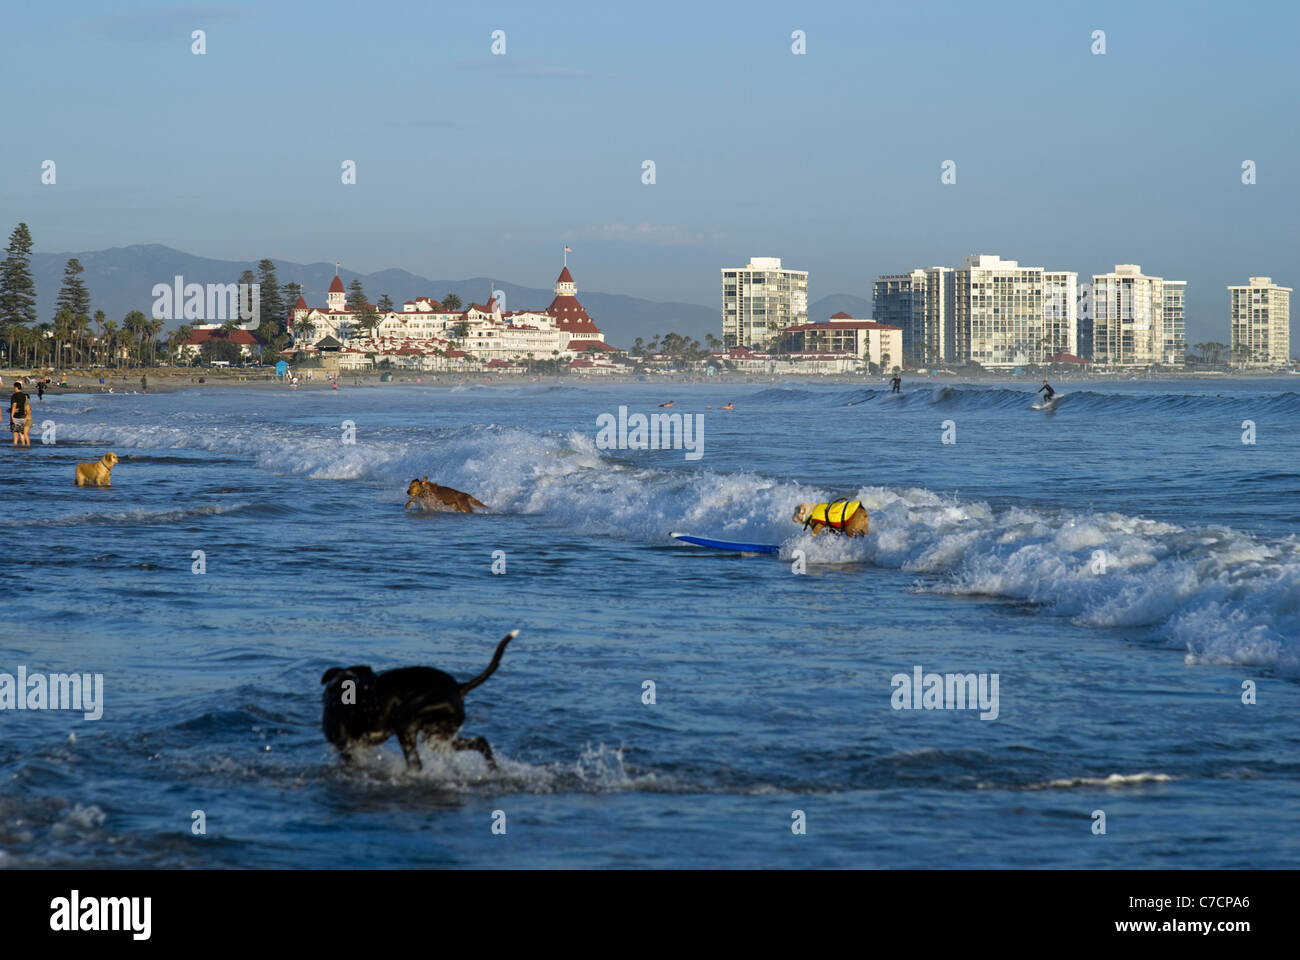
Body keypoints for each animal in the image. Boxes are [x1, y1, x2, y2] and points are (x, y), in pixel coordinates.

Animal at [319, 629, 517, 770]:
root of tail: (459, 687)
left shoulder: (346, 748)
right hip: (438, 738)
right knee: (481, 742)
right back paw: (494, 770)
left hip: (406, 724)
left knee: (416, 763)